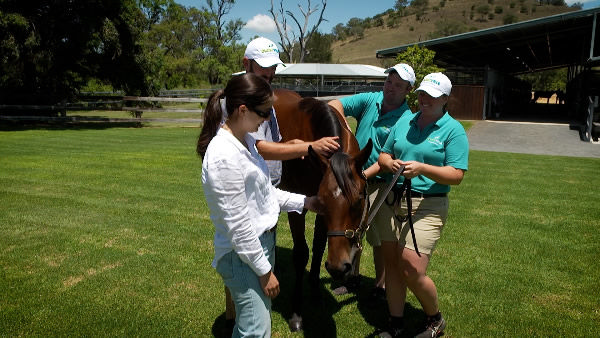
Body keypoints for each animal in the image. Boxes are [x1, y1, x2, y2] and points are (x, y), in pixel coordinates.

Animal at [274, 88, 372, 332]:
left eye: (359, 200)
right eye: (325, 201)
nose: (338, 267)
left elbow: (318, 247)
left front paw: (316, 291)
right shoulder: (299, 207)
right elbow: (301, 253)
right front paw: (297, 313)